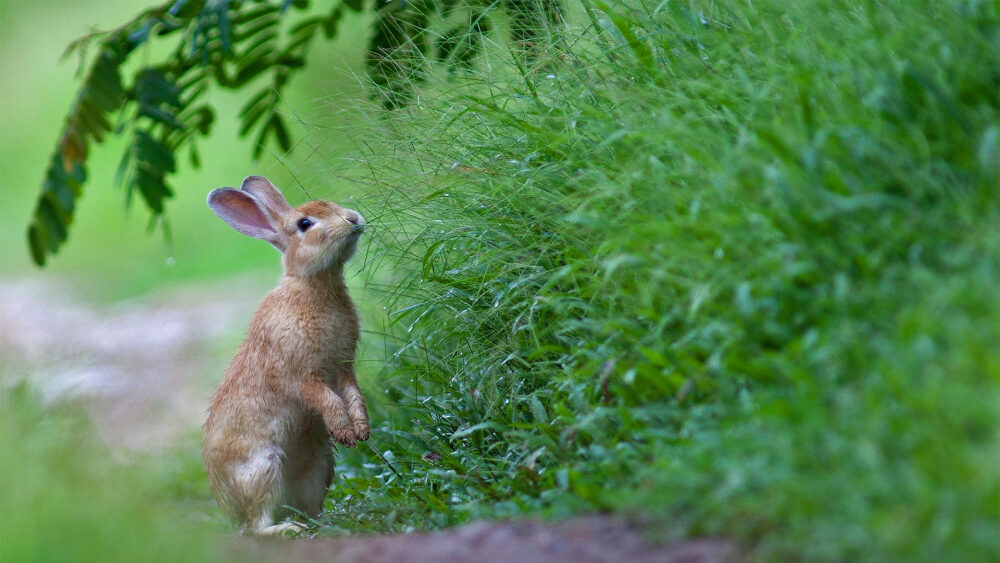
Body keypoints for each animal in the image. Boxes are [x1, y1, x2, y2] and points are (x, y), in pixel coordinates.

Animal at [201, 176, 370, 536]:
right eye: (305, 224)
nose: (353, 218)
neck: (313, 286)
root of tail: (228, 507)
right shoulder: (303, 375)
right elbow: (327, 400)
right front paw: (346, 432)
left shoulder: (343, 368)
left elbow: (353, 395)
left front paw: (361, 431)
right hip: (263, 469)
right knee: (257, 525)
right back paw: (289, 529)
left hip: (319, 465)